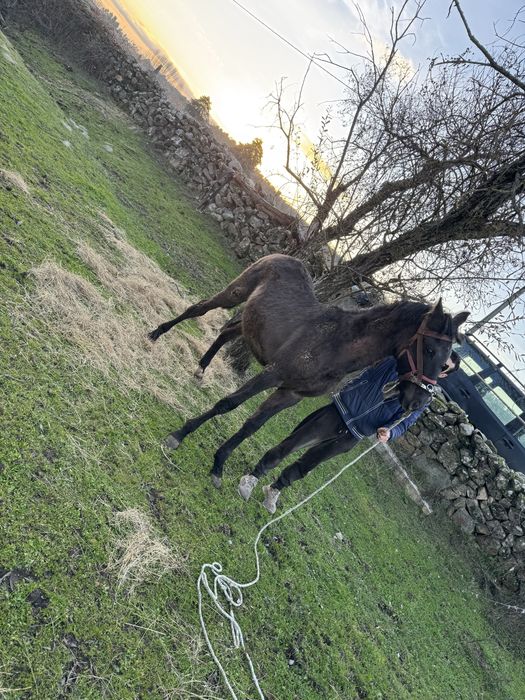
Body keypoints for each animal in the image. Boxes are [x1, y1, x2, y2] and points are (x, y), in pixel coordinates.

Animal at [149, 254, 469, 487]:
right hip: (235, 292)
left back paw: (201, 368)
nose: (417, 401)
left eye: (445, 361)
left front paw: (219, 464)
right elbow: (228, 404)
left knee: (227, 332)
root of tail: (283, 256)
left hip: (252, 321)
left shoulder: (291, 394)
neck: (337, 345)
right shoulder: (274, 373)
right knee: (199, 309)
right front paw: (179, 435)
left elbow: (253, 425)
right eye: (430, 350)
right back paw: (156, 334)